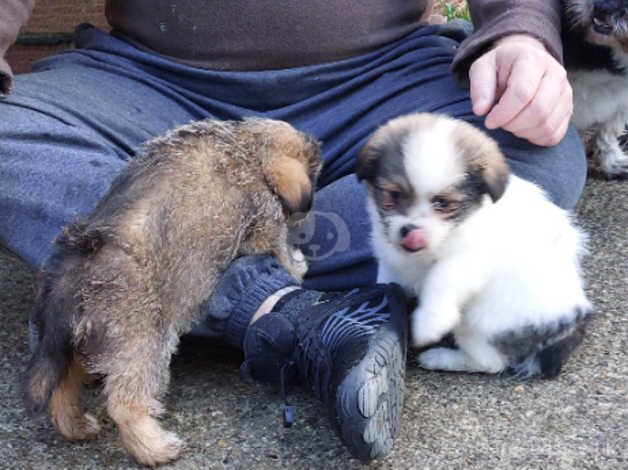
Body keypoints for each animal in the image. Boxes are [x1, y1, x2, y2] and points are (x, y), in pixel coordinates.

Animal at [22, 118, 322, 466]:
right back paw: (155, 448)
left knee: (62, 387)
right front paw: (297, 265)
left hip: (71, 345)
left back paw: (77, 426)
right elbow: (279, 250)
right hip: (142, 345)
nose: (306, 213)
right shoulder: (264, 224)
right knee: (124, 402)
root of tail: (68, 280)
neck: (246, 144)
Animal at [358, 114, 592, 378]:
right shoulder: (391, 257)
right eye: (392, 195)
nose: (411, 232)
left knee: (490, 363)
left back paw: (441, 358)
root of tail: (569, 325)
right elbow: (388, 278)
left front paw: (429, 323)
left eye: (442, 203)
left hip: (479, 323)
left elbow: (440, 279)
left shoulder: (470, 259)